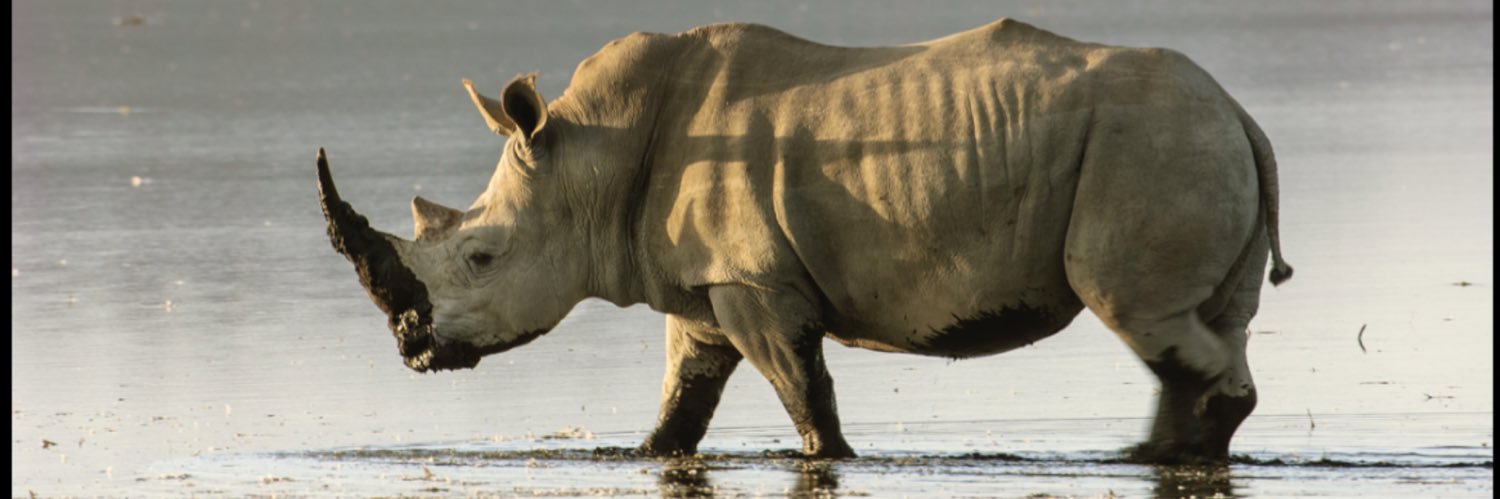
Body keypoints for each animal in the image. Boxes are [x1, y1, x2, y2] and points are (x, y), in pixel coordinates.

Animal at [317, 18, 1292, 463]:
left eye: (480, 259)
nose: (413, 348)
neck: (589, 157)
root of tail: (1242, 113)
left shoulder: (754, 282)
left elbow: (802, 390)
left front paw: (833, 458)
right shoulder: (706, 287)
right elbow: (683, 399)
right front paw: (646, 452)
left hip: (1151, 147)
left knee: (1139, 311)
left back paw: (1173, 451)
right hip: (1188, 144)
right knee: (1195, 328)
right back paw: (1156, 454)